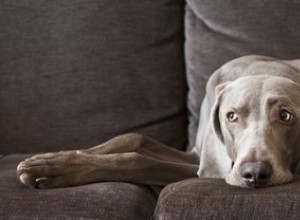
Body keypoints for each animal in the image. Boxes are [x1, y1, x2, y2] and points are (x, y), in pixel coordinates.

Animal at [16, 55, 300, 188]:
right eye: (231, 116)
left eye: (286, 115)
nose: (255, 174)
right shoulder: (200, 153)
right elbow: (134, 137)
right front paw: (52, 159)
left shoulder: (205, 169)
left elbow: (142, 161)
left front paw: (58, 169)